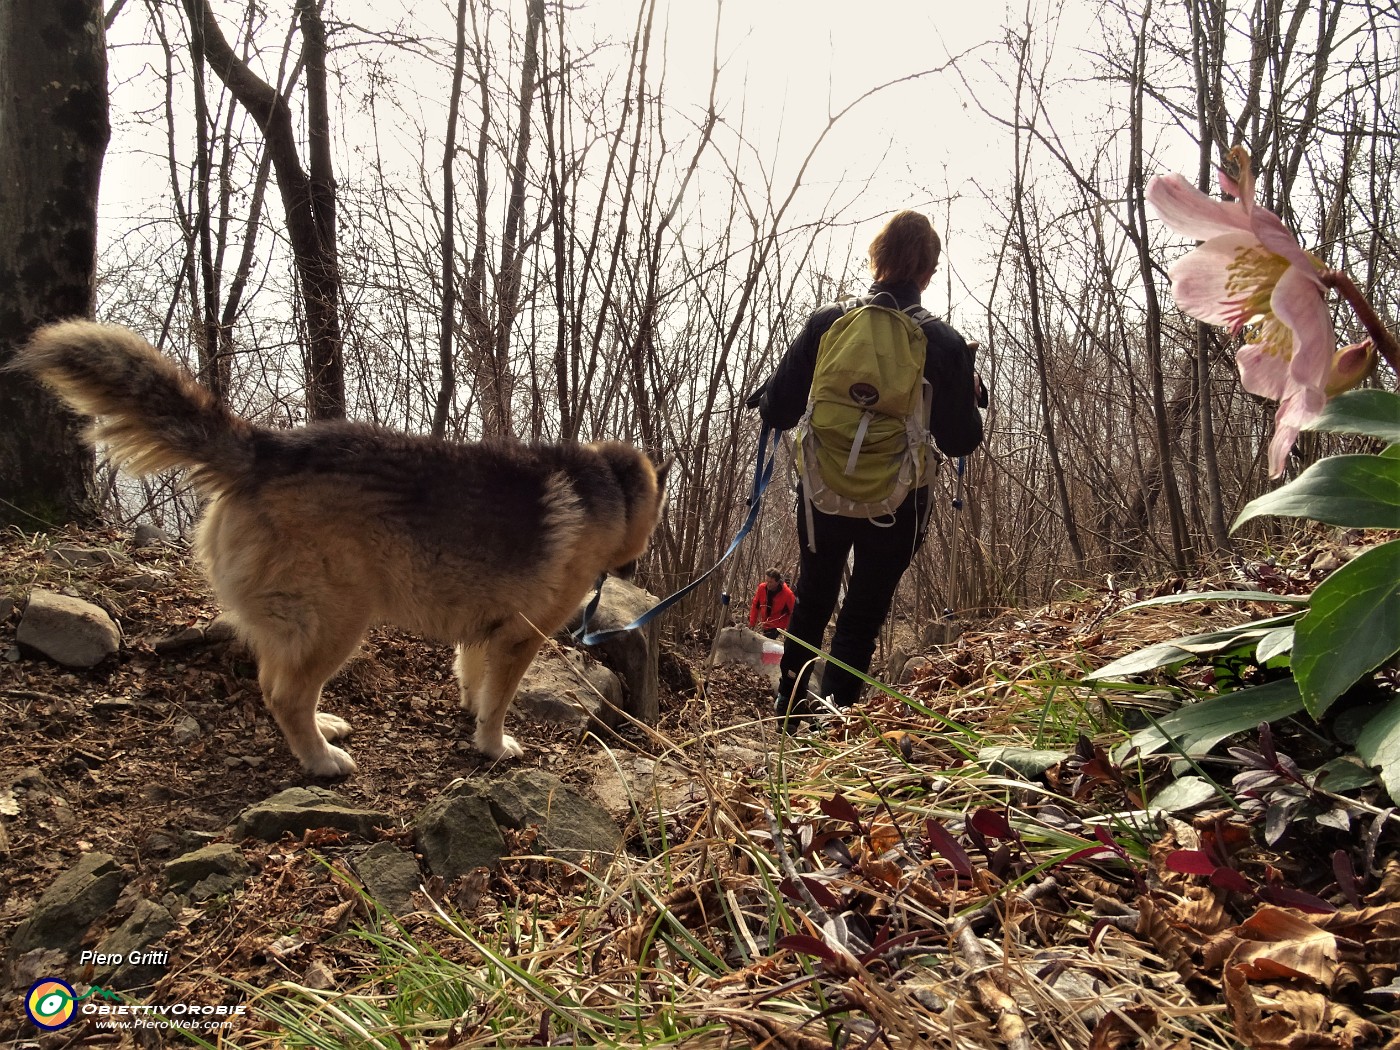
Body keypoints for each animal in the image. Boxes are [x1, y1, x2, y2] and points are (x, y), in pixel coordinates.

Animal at [17, 324, 666, 778]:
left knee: (273, 683)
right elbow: (499, 701)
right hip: (337, 619)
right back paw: (320, 760)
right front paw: (492, 745)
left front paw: (471, 718)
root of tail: (265, 450)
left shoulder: (484, 632)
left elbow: (474, 683)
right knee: (285, 694)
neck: (606, 486)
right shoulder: (519, 638)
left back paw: (323, 728)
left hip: (299, 622)